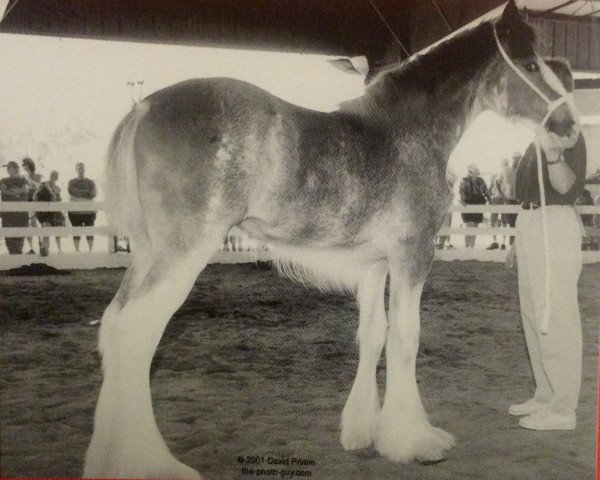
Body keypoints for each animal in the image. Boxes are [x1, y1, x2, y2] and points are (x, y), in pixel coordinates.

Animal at [84, 1, 580, 478]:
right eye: (531, 65)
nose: (570, 126)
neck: (407, 131)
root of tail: (144, 107)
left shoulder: (374, 265)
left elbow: (373, 335)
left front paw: (362, 431)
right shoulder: (412, 254)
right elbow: (405, 337)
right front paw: (414, 440)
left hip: (148, 254)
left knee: (114, 328)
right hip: (183, 253)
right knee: (136, 333)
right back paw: (147, 462)